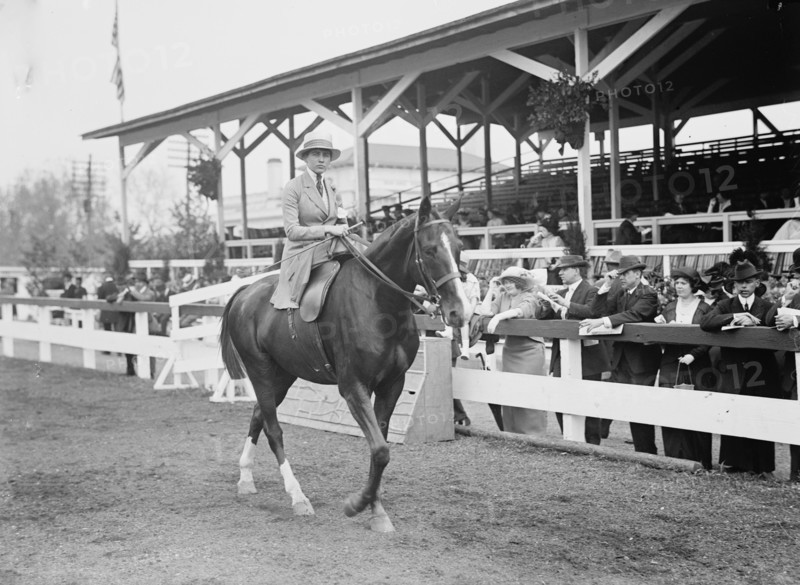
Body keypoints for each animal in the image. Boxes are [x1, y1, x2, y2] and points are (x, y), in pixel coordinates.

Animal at [219, 196, 469, 532]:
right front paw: (357, 504)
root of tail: (245, 292)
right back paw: (297, 497)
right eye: (429, 250)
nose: (458, 312)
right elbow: (380, 450)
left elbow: (380, 447)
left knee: (258, 415)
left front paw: (376, 511)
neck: (379, 302)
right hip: (260, 371)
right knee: (273, 429)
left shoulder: (393, 385)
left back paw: (246, 477)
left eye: (459, 247)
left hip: (282, 375)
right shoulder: (353, 387)